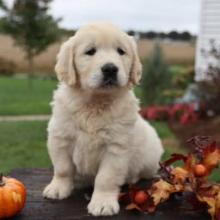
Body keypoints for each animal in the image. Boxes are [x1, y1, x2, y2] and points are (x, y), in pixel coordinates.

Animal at [43, 22, 163, 217]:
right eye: (90, 51)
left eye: (121, 51)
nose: (110, 68)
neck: (95, 102)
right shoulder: (60, 137)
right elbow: (63, 168)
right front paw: (58, 188)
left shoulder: (116, 147)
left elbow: (106, 178)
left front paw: (103, 203)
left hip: (150, 159)